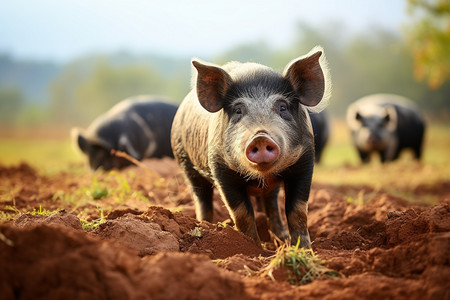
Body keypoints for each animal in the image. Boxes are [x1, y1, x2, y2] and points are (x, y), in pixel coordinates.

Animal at [171, 47, 332, 248]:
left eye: (282, 107)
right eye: (238, 110)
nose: (260, 137)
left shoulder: (305, 161)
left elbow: (297, 211)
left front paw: (304, 250)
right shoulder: (221, 169)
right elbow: (241, 213)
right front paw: (253, 248)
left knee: (272, 203)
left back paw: (282, 239)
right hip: (185, 162)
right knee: (202, 198)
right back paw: (204, 225)